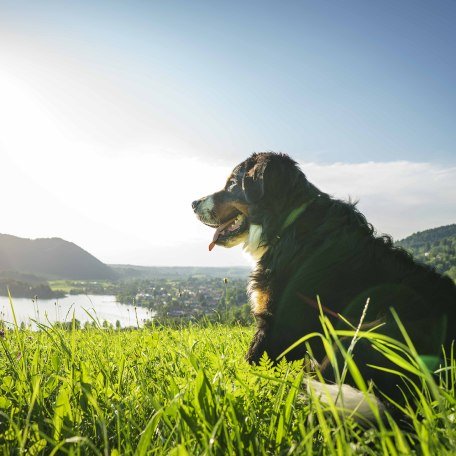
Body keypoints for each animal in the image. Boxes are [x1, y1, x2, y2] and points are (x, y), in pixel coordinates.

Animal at [191, 152, 454, 416]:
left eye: (232, 183)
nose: (193, 203)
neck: (287, 225)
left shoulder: (277, 325)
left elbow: (249, 365)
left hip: (367, 331)